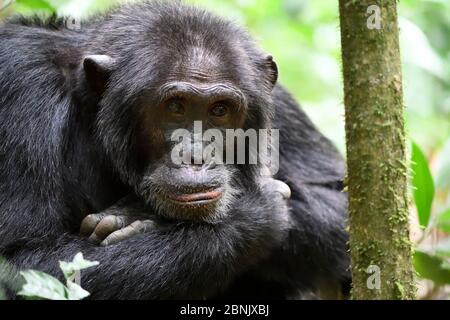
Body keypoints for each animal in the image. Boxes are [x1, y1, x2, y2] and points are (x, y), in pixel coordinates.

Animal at [0, 1, 350, 298]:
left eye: (219, 110)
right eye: (175, 107)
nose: (195, 155)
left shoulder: (276, 99)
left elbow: (337, 197)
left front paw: (135, 214)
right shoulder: (21, 81)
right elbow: (26, 260)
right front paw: (255, 213)